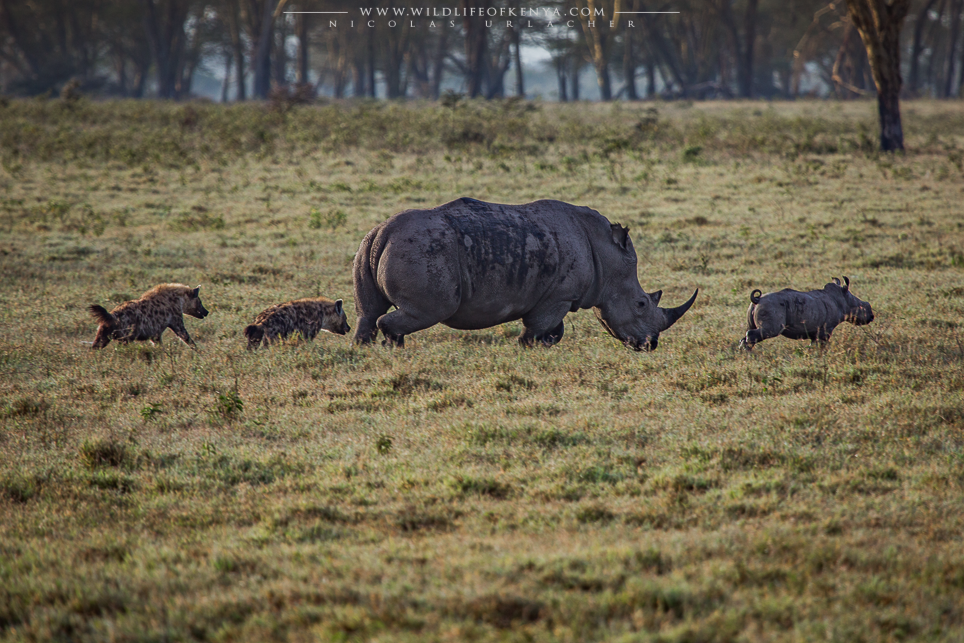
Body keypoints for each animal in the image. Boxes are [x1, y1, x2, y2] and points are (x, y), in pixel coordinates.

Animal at [352, 198, 697, 350]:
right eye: (641, 304)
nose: (650, 345)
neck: (606, 254)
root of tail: (384, 231)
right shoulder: (560, 294)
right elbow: (540, 325)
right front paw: (527, 346)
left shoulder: (554, 295)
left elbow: (554, 328)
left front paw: (546, 343)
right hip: (424, 249)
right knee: (430, 310)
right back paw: (394, 347)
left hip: (368, 245)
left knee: (368, 311)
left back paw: (365, 348)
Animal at [739, 277, 874, 350]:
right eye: (861, 307)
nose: (872, 316)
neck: (842, 298)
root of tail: (757, 300)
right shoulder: (826, 329)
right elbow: (822, 346)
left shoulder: (816, 331)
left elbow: (813, 345)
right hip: (770, 308)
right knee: (767, 331)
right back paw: (749, 354)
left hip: (754, 308)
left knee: (748, 331)